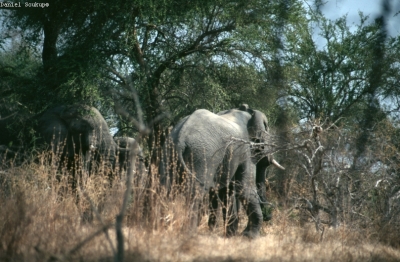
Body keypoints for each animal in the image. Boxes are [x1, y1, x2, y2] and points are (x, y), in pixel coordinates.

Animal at [159, 104, 282, 237]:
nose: (269, 216)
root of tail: (180, 138)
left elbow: (226, 192)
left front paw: (232, 235)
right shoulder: (245, 150)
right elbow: (244, 188)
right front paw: (249, 236)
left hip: (168, 153)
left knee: (164, 190)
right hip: (201, 156)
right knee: (195, 194)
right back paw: (189, 234)